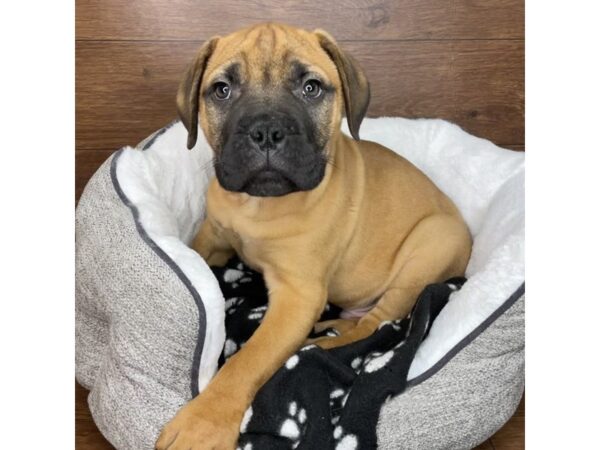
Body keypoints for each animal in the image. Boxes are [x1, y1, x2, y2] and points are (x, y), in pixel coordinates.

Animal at [156, 22, 474, 450]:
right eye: (222, 90)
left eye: (311, 88)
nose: (266, 131)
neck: (259, 205)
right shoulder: (214, 236)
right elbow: (195, 254)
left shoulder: (298, 296)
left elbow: (249, 359)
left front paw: (202, 422)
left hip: (428, 250)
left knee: (374, 327)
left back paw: (315, 346)